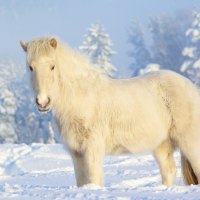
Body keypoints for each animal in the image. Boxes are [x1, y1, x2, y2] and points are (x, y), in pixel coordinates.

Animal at [19, 36, 200, 187]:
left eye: (52, 66)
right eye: (30, 67)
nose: (43, 102)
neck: (82, 97)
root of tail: (191, 88)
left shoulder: (93, 148)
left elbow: (94, 179)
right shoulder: (76, 153)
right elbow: (82, 182)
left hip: (190, 143)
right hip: (162, 145)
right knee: (169, 171)